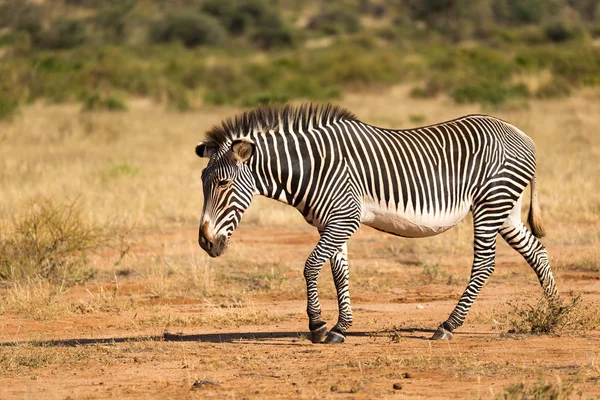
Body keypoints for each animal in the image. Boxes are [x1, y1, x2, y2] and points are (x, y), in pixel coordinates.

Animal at [196, 103, 556, 344]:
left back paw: (448, 326)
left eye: (223, 184)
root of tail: (522, 134)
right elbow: (339, 273)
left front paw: (317, 326)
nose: (205, 242)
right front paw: (340, 328)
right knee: (535, 251)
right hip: (505, 208)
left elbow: (311, 265)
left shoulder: (345, 217)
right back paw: (555, 312)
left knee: (484, 263)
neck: (312, 166)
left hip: (491, 203)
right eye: (203, 182)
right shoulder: (332, 222)